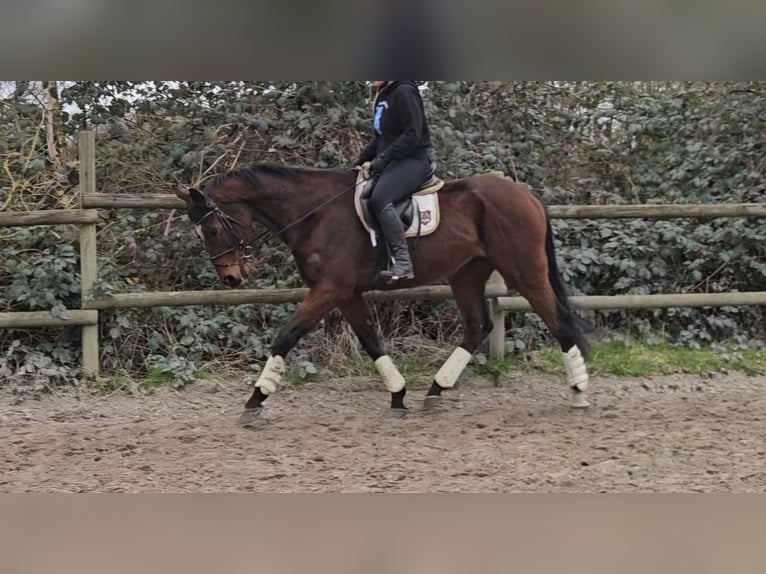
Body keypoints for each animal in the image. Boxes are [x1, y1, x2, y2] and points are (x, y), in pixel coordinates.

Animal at [177, 163, 596, 428]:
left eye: (211, 230)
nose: (231, 277)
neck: (315, 214)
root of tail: (527, 195)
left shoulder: (329, 289)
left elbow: (286, 336)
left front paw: (256, 398)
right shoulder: (345, 292)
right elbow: (370, 341)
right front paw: (398, 396)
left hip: (524, 272)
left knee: (557, 321)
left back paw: (579, 393)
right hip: (467, 272)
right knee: (477, 326)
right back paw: (436, 391)